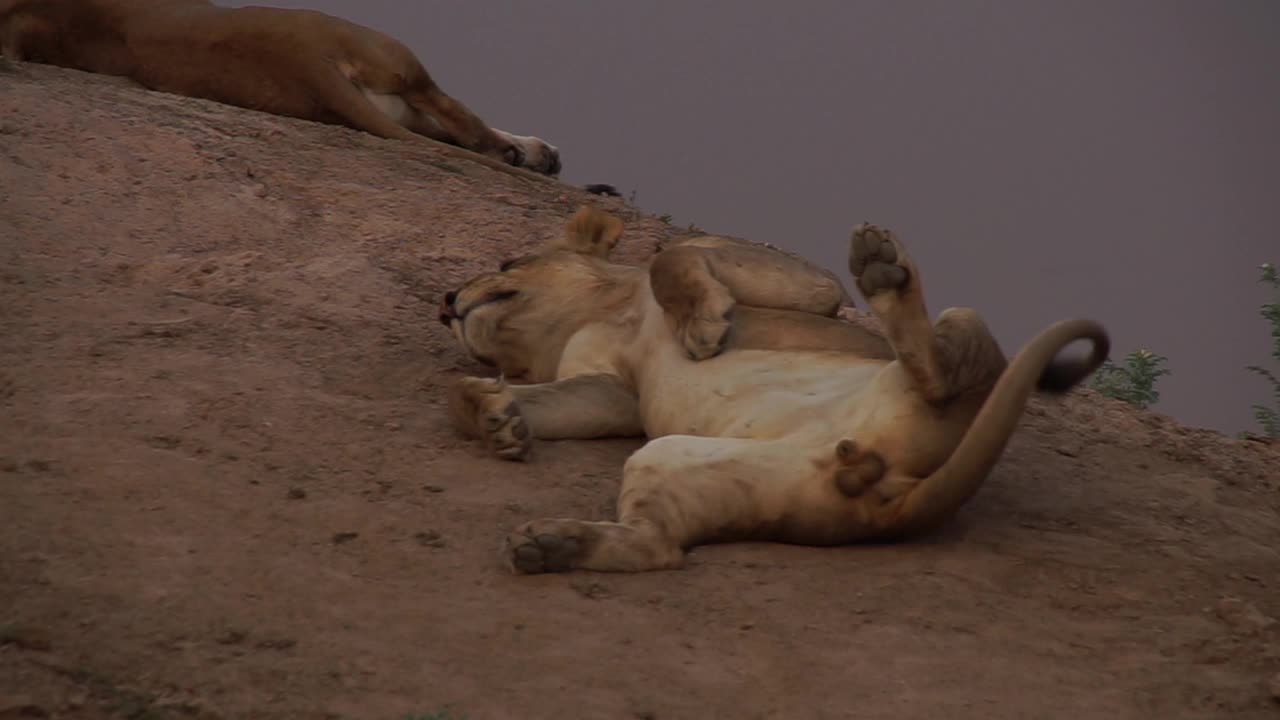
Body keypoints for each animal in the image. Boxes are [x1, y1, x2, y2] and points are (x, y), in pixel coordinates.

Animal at [0, 0, 560, 175]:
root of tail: (304, 59)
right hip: (395, 57)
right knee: (459, 120)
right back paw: (532, 155)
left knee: (449, 125)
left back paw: (532, 154)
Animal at [442, 206, 1111, 571]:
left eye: (505, 264)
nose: (446, 301)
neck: (601, 314)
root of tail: (889, 498)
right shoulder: (614, 392)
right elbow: (536, 402)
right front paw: (493, 416)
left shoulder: (807, 285)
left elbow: (671, 257)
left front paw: (702, 324)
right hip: (679, 461)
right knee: (658, 547)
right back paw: (549, 545)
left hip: (963, 323)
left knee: (941, 370)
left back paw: (881, 266)